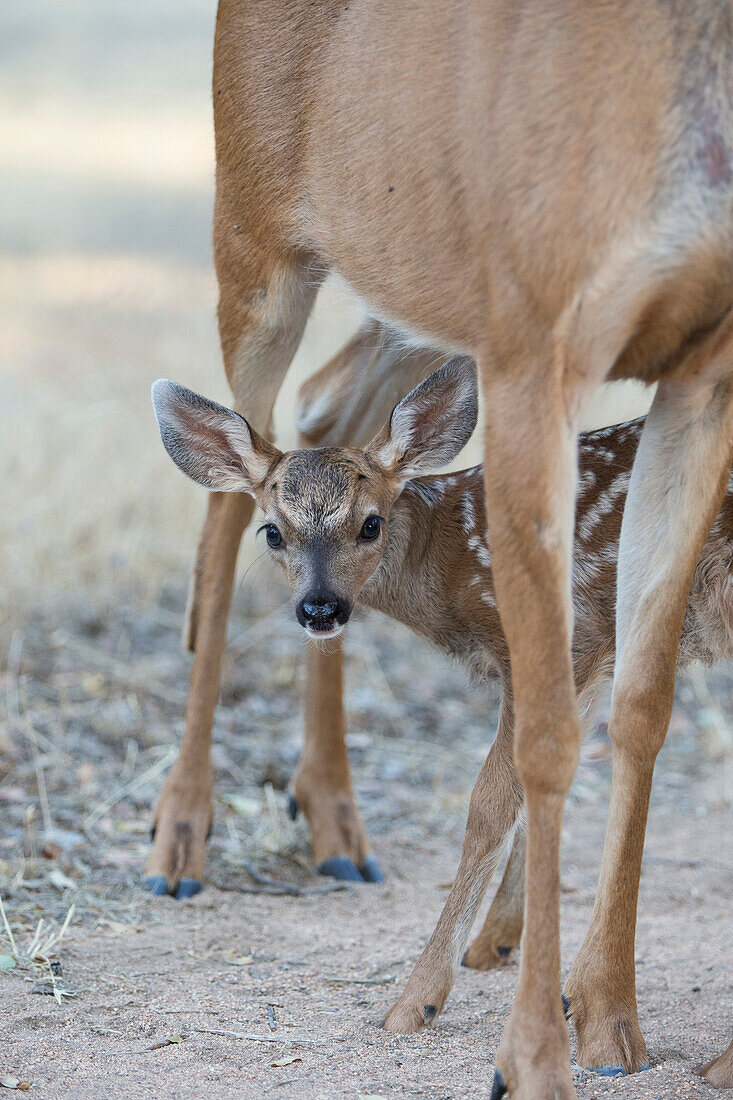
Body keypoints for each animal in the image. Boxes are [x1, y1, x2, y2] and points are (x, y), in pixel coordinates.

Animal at [145, 4, 730, 1095]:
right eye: (280, 535)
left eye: (372, 527)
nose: (319, 597)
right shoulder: (534, 339)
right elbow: (534, 750)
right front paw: (522, 1047)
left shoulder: (704, 359)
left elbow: (637, 708)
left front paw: (605, 1016)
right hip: (255, 232)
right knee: (231, 473)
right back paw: (180, 837)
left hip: (410, 289)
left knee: (329, 410)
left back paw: (336, 820)